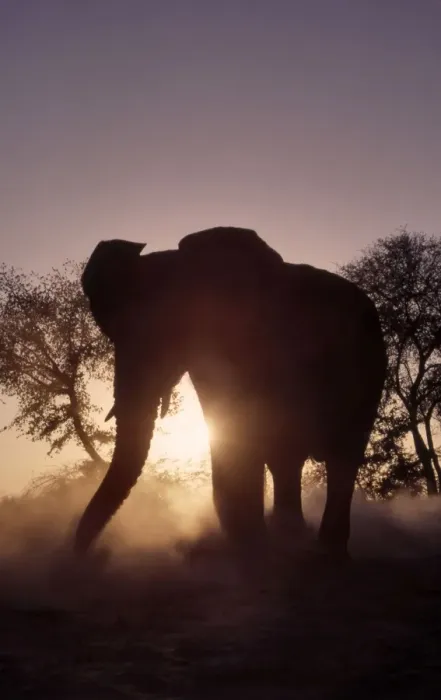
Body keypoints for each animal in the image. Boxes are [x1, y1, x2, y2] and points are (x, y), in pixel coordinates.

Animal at [74, 227, 387, 560]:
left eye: (171, 334)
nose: (94, 554)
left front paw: (247, 547)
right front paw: (244, 545)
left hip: (369, 371)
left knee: (343, 456)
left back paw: (324, 552)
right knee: (287, 458)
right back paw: (291, 539)